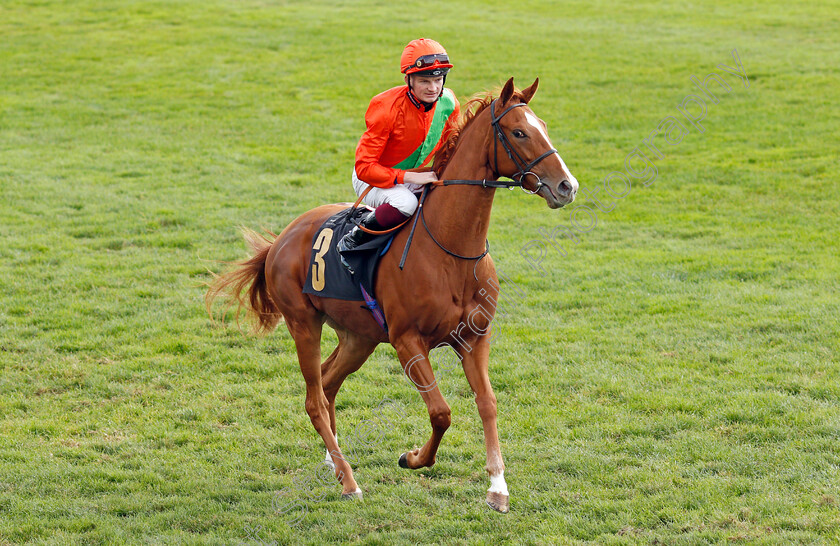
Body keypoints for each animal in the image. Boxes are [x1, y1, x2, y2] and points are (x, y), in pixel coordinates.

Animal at [208, 77, 576, 510]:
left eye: (544, 126)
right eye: (519, 132)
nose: (567, 186)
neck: (451, 251)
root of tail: (281, 239)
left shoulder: (474, 337)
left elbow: (487, 403)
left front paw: (497, 488)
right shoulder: (407, 341)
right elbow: (441, 412)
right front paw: (413, 457)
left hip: (358, 336)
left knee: (327, 384)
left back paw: (334, 462)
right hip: (304, 324)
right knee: (314, 399)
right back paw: (349, 481)